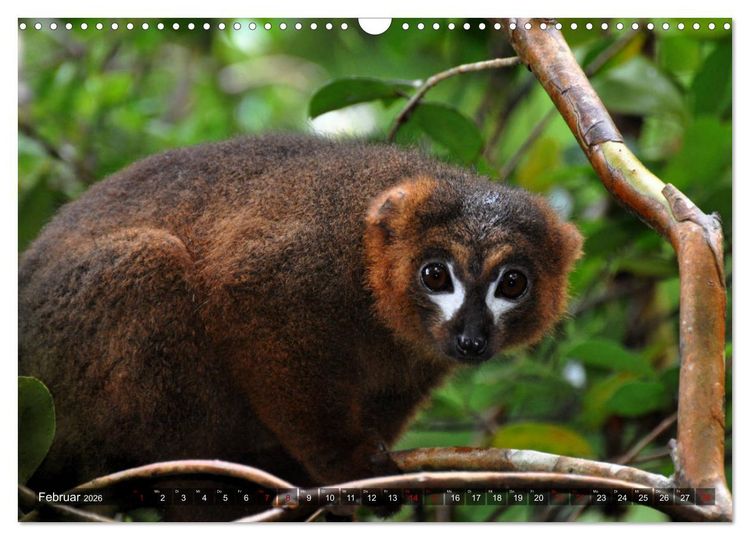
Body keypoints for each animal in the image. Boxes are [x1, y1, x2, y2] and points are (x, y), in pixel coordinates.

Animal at [19, 134, 582, 517]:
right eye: (436, 275)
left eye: (512, 284)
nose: (471, 338)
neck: (367, 282)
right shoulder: (308, 254)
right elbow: (247, 297)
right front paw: (345, 466)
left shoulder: (418, 354)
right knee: (147, 261)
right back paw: (196, 485)